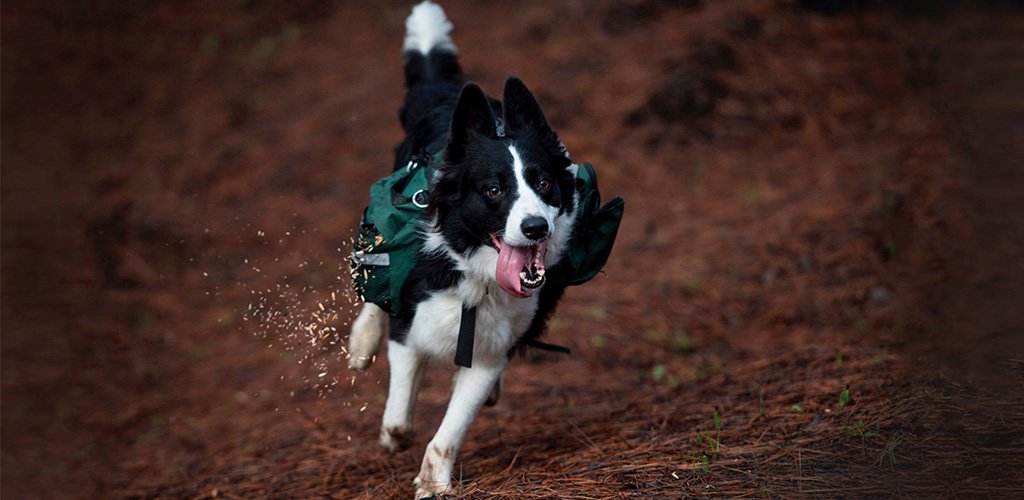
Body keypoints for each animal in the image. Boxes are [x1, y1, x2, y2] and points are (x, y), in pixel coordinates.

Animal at [350, 2, 577, 495]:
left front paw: (432, 483)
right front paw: (395, 439)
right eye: (493, 191)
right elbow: (398, 419)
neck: (476, 273)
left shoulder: (489, 354)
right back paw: (361, 341)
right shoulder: (410, 325)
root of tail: (446, 94)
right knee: (376, 275)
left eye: (544, 183)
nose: (535, 228)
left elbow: (449, 429)